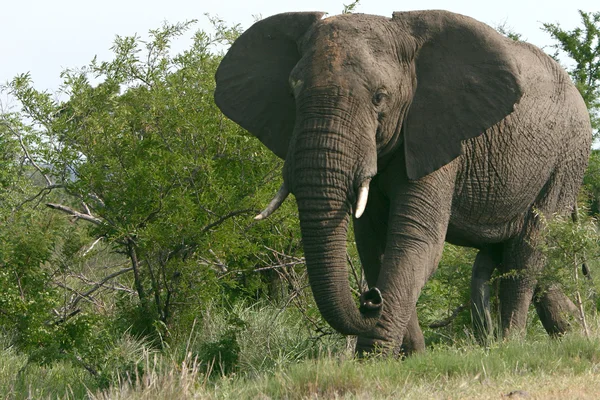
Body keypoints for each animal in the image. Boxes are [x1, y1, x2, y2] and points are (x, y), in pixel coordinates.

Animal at [213, 8, 592, 354]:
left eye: (379, 98)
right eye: (292, 94)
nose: (370, 298)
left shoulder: (437, 132)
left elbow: (413, 239)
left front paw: (373, 359)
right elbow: (373, 243)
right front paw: (407, 357)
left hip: (567, 158)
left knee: (528, 250)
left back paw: (511, 345)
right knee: (520, 260)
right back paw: (571, 334)